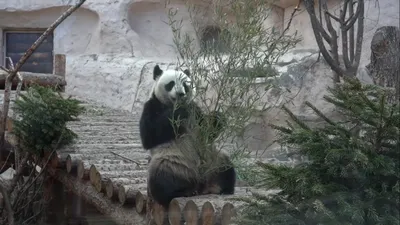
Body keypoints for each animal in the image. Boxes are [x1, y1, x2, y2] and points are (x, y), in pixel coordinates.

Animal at [139, 64, 236, 208]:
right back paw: (180, 192)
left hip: (213, 159)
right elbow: (150, 135)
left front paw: (217, 117)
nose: (181, 94)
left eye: (185, 85)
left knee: (225, 166)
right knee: (161, 179)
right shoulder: (153, 106)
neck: (173, 105)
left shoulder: (195, 111)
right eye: (171, 83)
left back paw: (224, 188)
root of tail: (201, 185)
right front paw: (179, 112)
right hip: (173, 162)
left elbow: (207, 132)